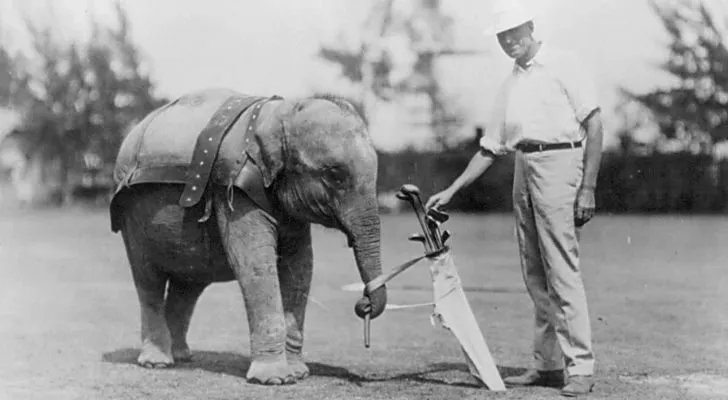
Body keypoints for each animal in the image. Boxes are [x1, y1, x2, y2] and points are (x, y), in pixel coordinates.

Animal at [108, 90, 386, 384]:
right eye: (334, 174)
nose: (364, 305)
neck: (279, 114)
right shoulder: (234, 188)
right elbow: (256, 264)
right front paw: (274, 379)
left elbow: (301, 266)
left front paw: (298, 373)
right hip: (131, 216)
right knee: (148, 278)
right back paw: (157, 361)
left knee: (188, 284)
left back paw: (181, 356)